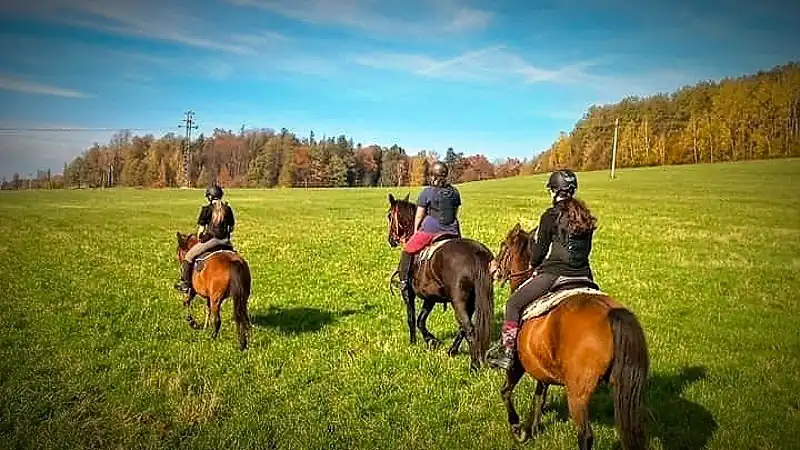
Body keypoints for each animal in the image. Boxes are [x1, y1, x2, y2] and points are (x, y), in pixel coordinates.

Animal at [386, 193, 495, 371]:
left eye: (389, 216)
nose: (391, 240)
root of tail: (476, 253)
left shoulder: (408, 293)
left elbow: (411, 318)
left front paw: (414, 342)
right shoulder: (430, 297)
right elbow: (421, 320)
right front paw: (432, 340)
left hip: (458, 300)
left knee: (469, 328)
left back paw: (473, 366)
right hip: (472, 300)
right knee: (463, 327)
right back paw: (452, 351)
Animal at [492, 223, 650, 450]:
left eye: (504, 245)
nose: (492, 268)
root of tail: (612, 313)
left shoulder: (518, 365)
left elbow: (506, 391)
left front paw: (518, 429)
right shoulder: (541, 368)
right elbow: (539, 397)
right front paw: (533, 429)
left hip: (577, 393)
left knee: (585, 435)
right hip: (624, 391)